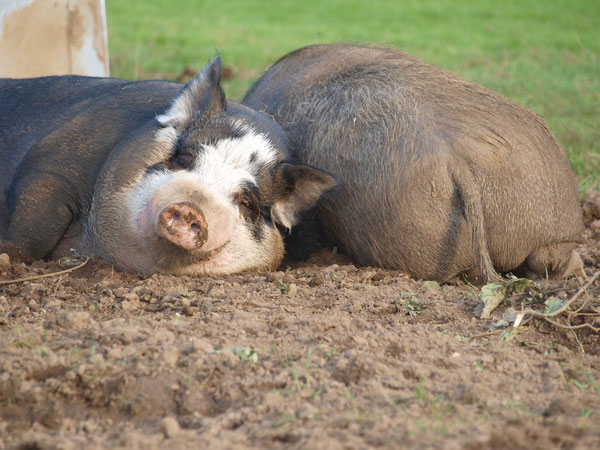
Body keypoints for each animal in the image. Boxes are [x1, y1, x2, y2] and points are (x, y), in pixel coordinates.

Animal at [0, 58, 336, 276]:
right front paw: (6, 256)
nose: (190, 209)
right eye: (184, 159)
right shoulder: (52, 164)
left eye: (247, 202)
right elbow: (32, 229)